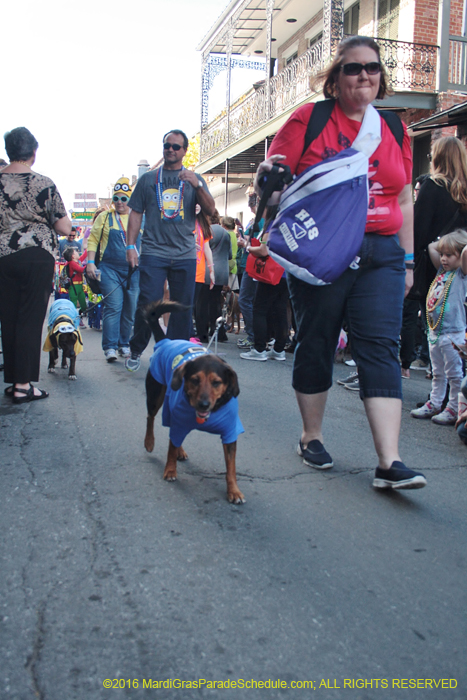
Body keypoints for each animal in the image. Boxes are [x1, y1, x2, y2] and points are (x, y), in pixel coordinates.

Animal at [144, 300, 247, 504]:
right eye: (194, 380)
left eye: (216, 382)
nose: (203, 405)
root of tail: (165, 341)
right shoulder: (179, 419)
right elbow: (170, 447)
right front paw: (170, 470)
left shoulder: (230, 432)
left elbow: (231, 467)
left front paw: (234, 490)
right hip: (156, 394)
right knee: (151, 418)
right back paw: (149, 442)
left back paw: (180, 451)